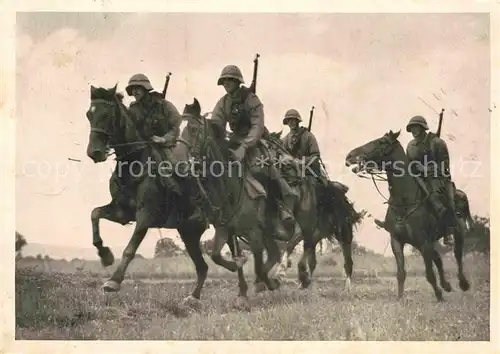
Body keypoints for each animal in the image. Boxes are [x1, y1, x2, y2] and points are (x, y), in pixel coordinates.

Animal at [85, 85, 209, 306]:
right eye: (89, 115)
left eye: (106, 114)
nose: (95, 152)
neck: (133, 164)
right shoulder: (121, 212)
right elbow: (95, 214)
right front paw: (104, 254)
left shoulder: (146, 216)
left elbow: (129, 249)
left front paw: (113, 281)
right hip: (189, 234)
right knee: (202, 267)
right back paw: (193, 298)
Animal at [182, 98, 318, 308]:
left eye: (194, 128)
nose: (183, 163)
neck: (229, 186)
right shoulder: (226, 229)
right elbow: (216, 255)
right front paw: (239, 271)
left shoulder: (254, 232)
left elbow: (259, 267)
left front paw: (267, 283)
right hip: (269, 232)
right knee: (277, 252)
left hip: (302, 224)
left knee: (302, 244)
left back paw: (300, 276)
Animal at [346, 130, 470, 302]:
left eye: (380, 142)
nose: (350, 156)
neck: (404, 201)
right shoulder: (397, 241)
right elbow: (401, 273)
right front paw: (399, 298)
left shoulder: (424, 242)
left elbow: (429, 274)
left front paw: (439, 295)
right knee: (438, 258)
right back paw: (446, 285)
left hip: (457, 233)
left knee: (458, 256)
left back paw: (462, 283)